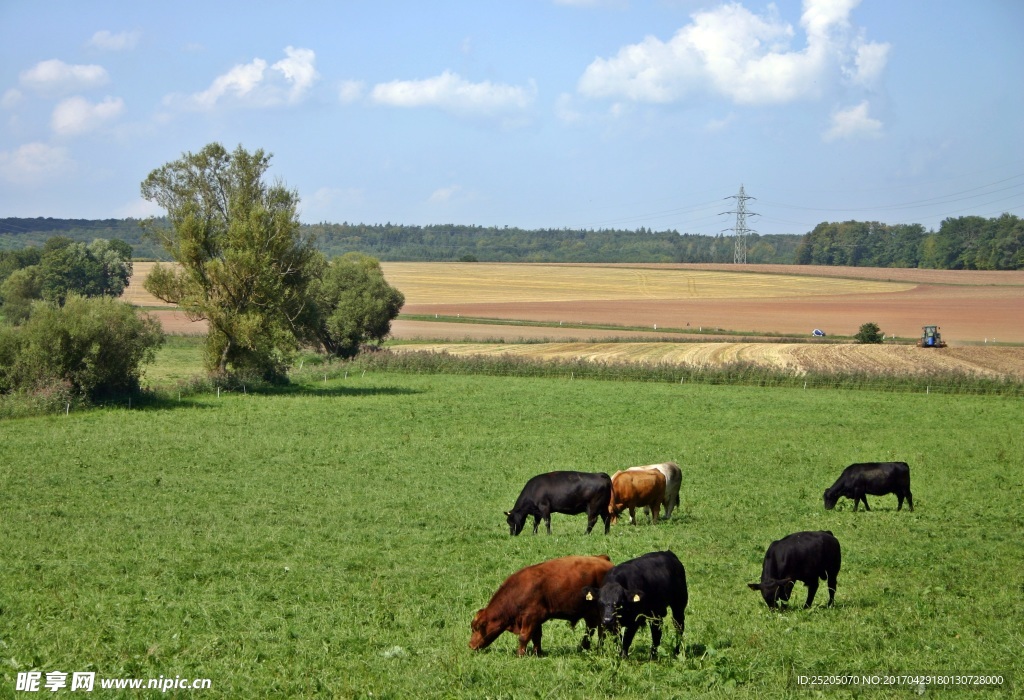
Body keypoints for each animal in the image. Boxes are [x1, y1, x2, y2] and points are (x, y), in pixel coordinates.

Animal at [468, 552, 610, 654]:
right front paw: (537, 653)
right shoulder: (536, 620)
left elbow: (524, 637)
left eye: (476, 628)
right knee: (590, 630)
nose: (470, 645)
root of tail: (603, 559)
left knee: (601, 631)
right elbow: (536, 636)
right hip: (589, 613)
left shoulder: (531, 617)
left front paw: (520, 654)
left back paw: (599, 649)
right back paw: (584, 647)